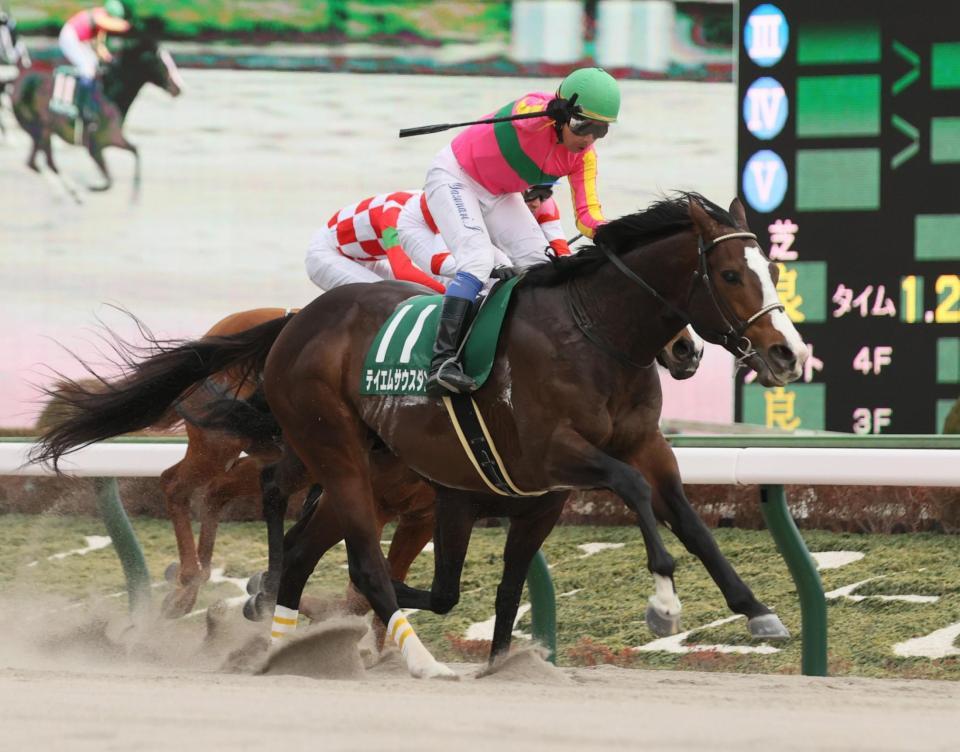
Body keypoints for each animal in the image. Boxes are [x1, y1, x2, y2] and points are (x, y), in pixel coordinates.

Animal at [11, 31, 182, 198]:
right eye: (162, 62)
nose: (178, 88)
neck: (111, 92)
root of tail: (22, 71)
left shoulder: (113, 139)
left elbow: (135, 151)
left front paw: (134, 196)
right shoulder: (94, 144)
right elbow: (109, 180)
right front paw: (94, 188)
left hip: (42, 129)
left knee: (36, 163)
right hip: (38, 125)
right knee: (45, 162)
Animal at [32, 193, 806, 678]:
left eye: (771, 269)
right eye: (730, 273)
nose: (786, 354)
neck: (594, 334)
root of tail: (294, 323)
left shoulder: (610, 459)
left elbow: (683, 519)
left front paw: (758, 611)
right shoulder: (548, 456)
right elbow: (633, 491)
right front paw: (663, 602)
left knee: (303, 546)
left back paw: (275, 629)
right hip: (331, 449)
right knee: (320, 542)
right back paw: (410, 658)